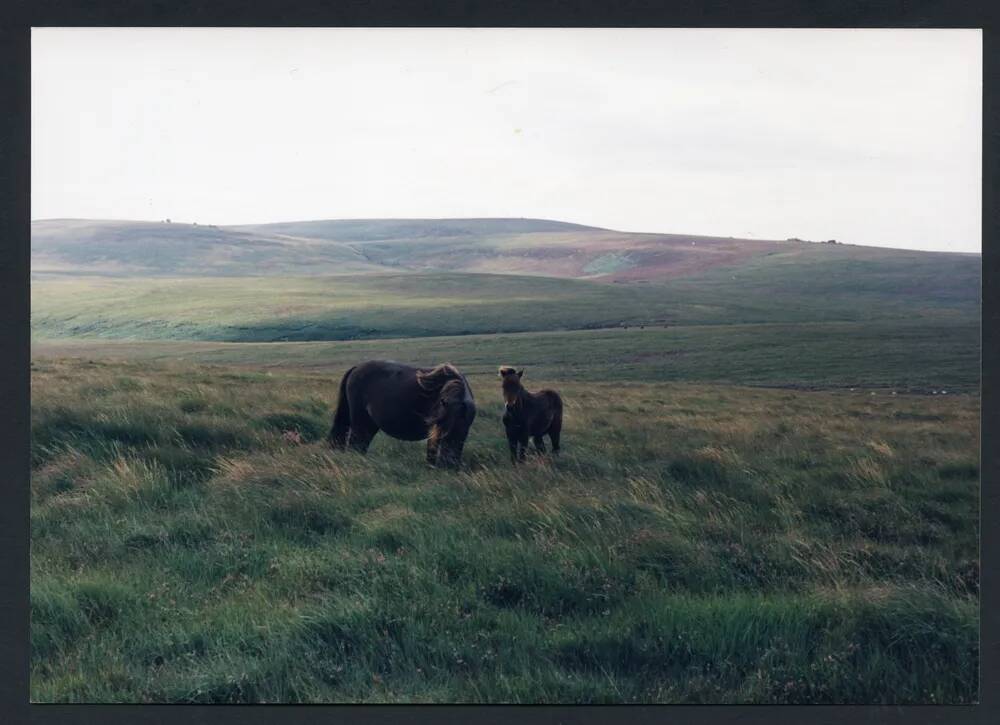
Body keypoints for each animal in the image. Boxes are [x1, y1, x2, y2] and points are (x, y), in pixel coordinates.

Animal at [328, 360, 476, 466]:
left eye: (457, 428)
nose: (446, 464)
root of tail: (356, 368)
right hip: (360, 423)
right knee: (355, 445)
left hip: (369, 424)